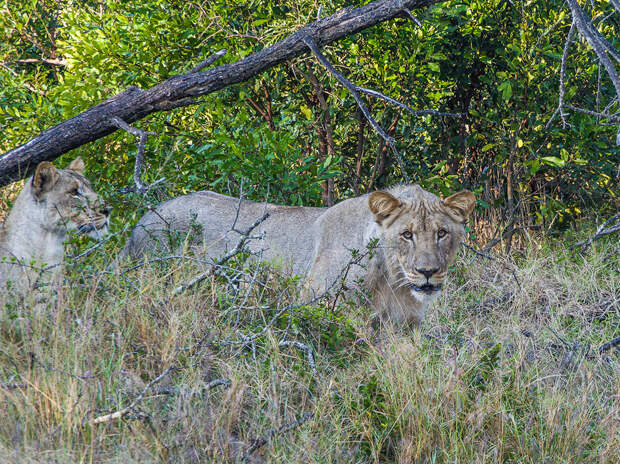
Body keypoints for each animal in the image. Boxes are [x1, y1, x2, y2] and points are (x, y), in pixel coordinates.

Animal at [124, 185, 474, 326]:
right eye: (407, 234)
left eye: (442, 233)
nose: (427, 272)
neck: (392, 279)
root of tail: (142, 219)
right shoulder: (314, 305)